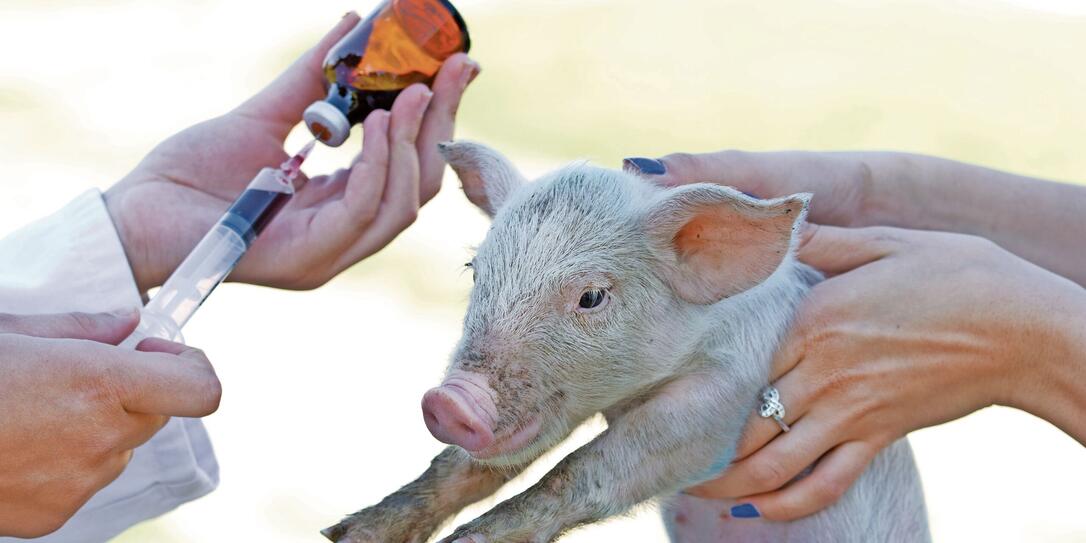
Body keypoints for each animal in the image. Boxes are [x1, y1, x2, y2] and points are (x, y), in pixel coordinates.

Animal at [321, 141, 930, 543]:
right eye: (475, 271)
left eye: (591, 296)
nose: (449, 402)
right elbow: (463, 466)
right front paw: (345, 534)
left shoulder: (726, 399)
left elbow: (585, 467)